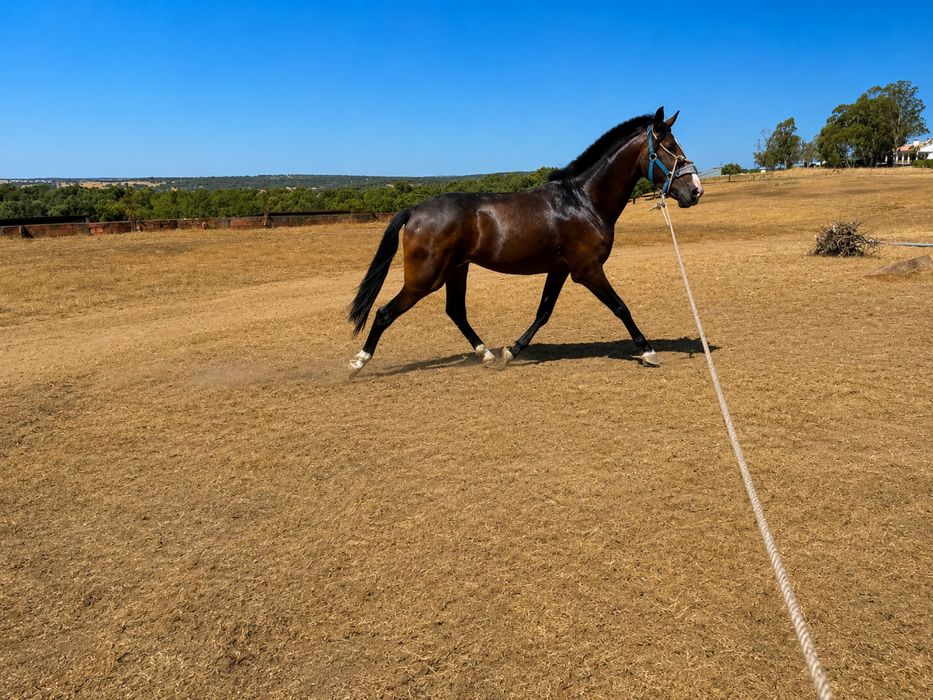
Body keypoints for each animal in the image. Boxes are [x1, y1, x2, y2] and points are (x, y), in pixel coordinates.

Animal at [346, 106, 703, 377]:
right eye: (670, 148)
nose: (695, 190)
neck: (582, 200)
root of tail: (415, 210)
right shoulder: (588, 270)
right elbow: (620, 307)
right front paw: (648, 351)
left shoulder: (560, 270)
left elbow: (543, 312)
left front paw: (510, 352)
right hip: (425, 278)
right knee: (385, 312)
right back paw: (358, 364)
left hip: (456, 270)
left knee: (456, 311)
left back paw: (487, 354)